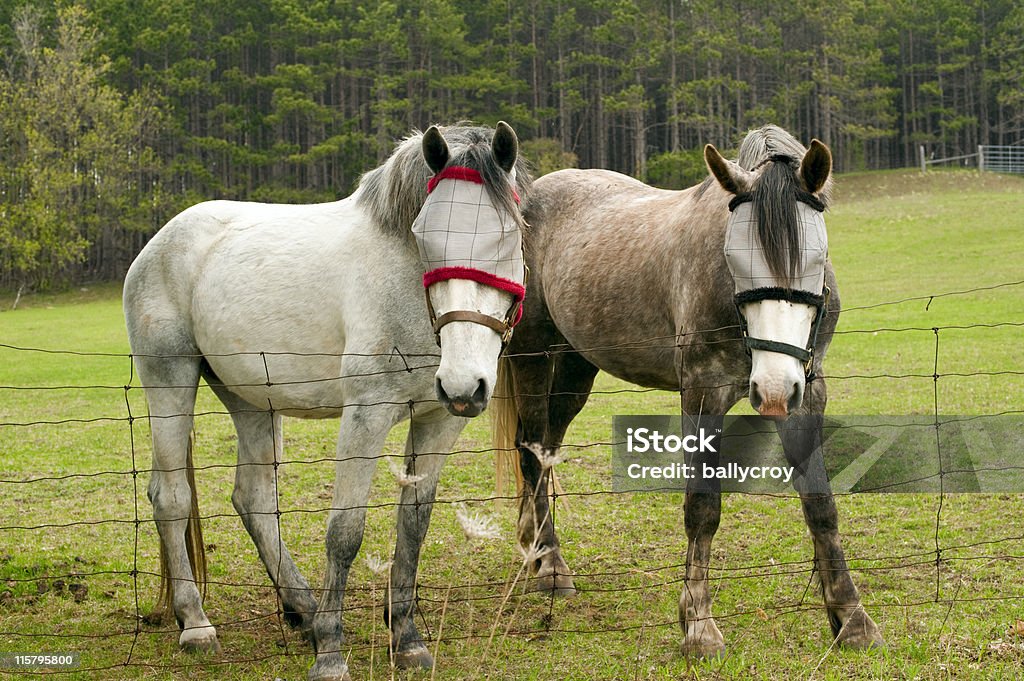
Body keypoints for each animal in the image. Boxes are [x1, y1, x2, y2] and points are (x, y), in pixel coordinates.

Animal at [121, 122, 528, 679]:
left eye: (507, 236)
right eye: (423, 237)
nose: (463, 382)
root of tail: (160, 242)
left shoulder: (440, 421)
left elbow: (413, 525)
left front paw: (407, 639)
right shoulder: (366, 415)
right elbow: (345, 531)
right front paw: (331, 653)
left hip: (252, 401)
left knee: (253, 498)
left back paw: (304, 610)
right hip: (170, 382)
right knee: (170, 497)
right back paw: (198, 624)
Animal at [491, 125, 884, 655]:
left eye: (817, 256)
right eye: (733, 257)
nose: (773, 388)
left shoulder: (808, 394)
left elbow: (821, 505)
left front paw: (851, 617)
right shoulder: (702, 394)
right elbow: (702, 508)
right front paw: (698, 624)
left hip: (576, 366)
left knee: (547, 449)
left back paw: (534, 548)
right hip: (532, 354)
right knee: (531, 452)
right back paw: (550, 566)